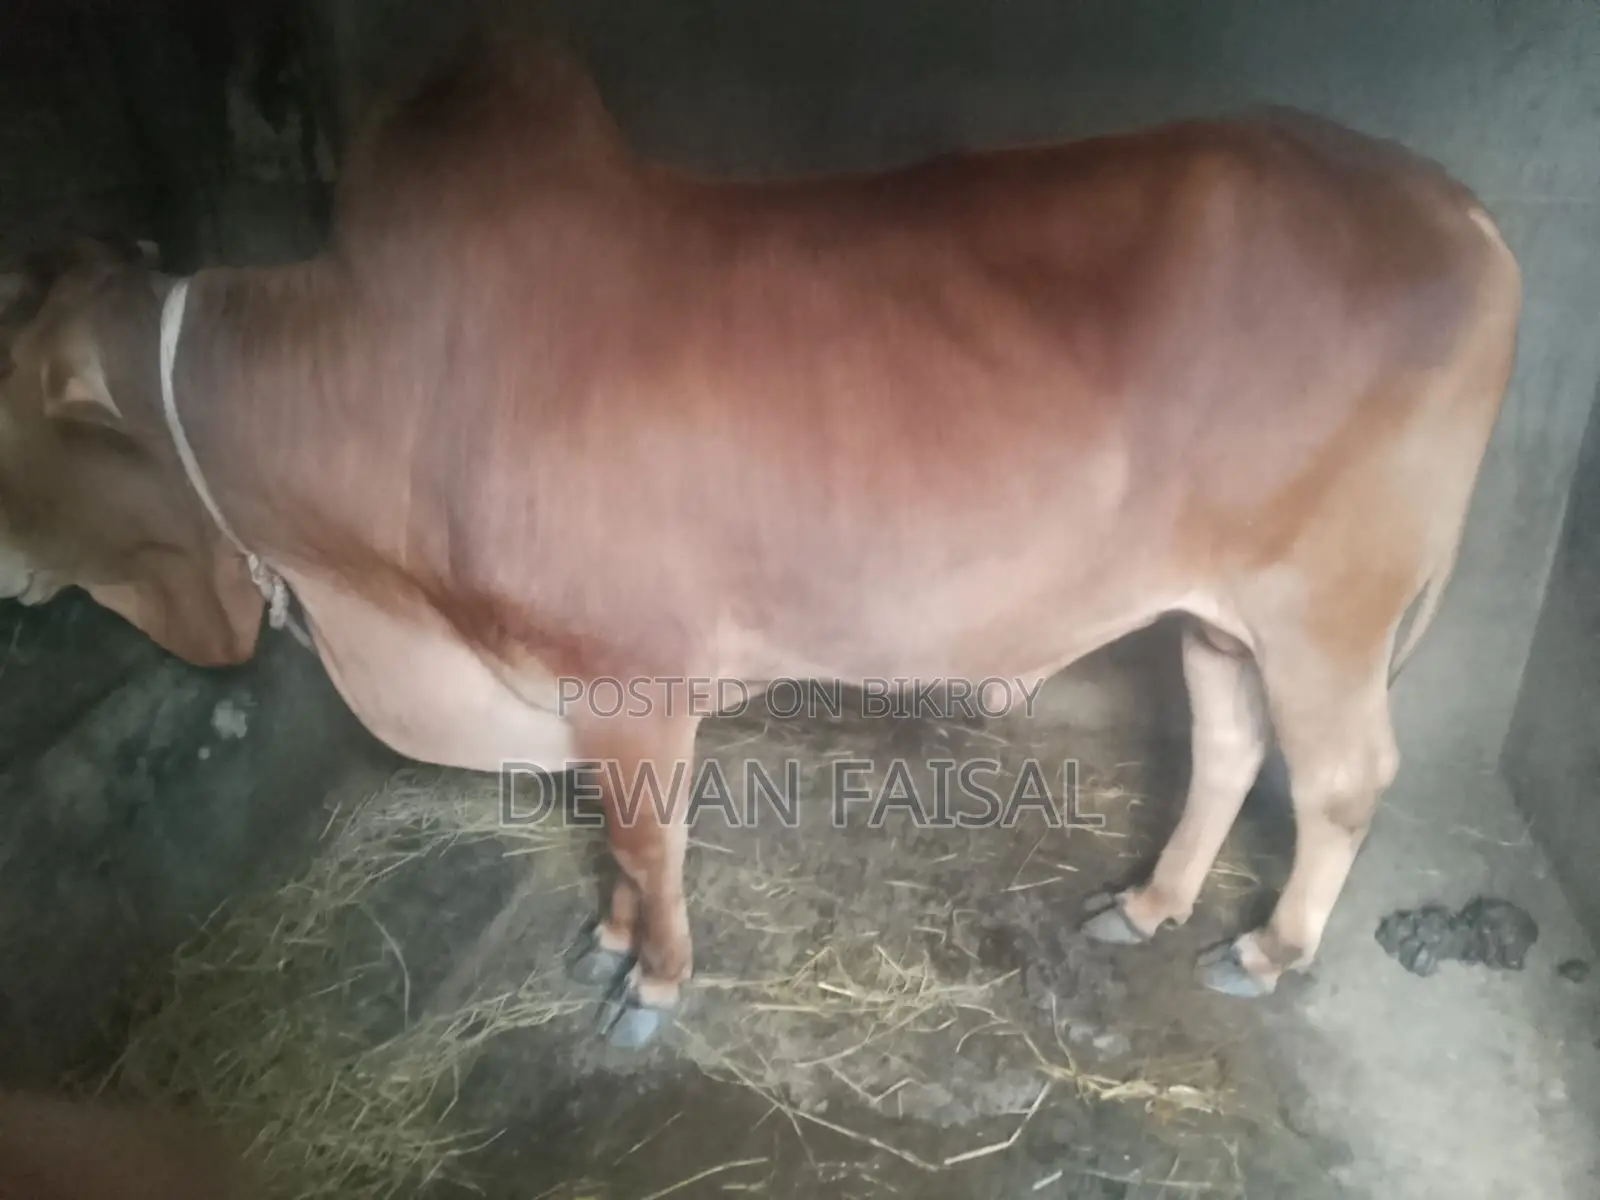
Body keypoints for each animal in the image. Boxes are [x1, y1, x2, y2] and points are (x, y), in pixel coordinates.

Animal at [0, 37, 1520, 1047]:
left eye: (10, 387)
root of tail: (1454, 205)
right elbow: (613, 843)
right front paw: (607, 939)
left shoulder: (629, 681)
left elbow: (646, 837)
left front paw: (654, 982)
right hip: (1213, 608)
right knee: (1229, 743)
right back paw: (1147, 907)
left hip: (1328, 607)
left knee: (1342, 778)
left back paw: (1266, 951)